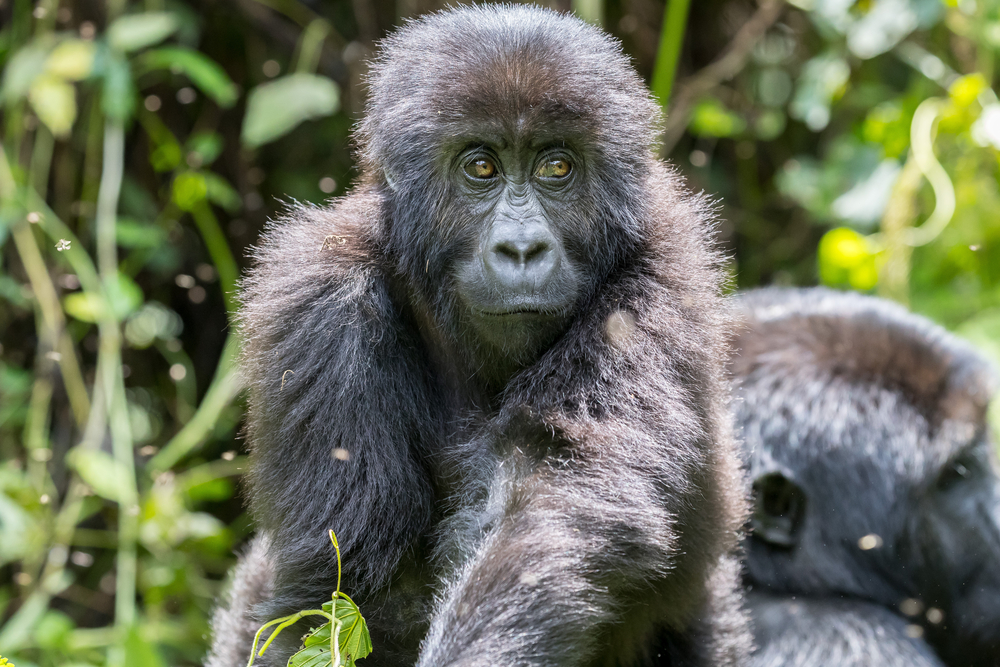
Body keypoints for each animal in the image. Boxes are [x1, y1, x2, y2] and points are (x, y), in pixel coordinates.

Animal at [205, 5, 752, 667]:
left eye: (556, 167)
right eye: (481, 167)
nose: (522, 248)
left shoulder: (661, 270)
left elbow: (550, 498)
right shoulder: (318, 297)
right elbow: (353, 588)